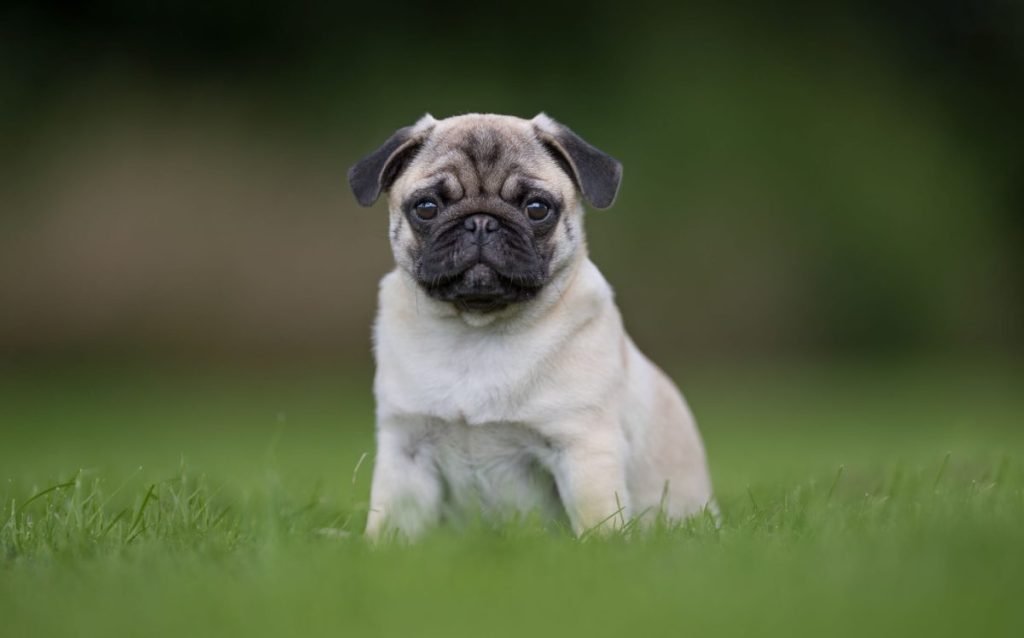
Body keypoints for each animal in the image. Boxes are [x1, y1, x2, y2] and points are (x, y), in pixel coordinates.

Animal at [346, 111, 712, 540]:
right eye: (426, 208)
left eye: (537, 209)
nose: (481, 222)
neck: (476, 332)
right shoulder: (406, 450)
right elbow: (391, 522)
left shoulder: (584, 448)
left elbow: (597, 521)